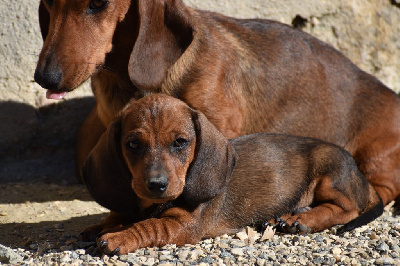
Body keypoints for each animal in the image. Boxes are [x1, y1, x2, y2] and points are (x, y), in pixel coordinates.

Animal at [80, 94, 382, 255]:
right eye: (132, 144)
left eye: (180, 142)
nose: (156, 184)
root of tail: (361, 178)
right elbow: (120, 215)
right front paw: (104, 224)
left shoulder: (182, 224)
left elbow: (148, 226)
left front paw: (119, 236)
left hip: (328, 173)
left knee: (347, 208)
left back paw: (303, 219)